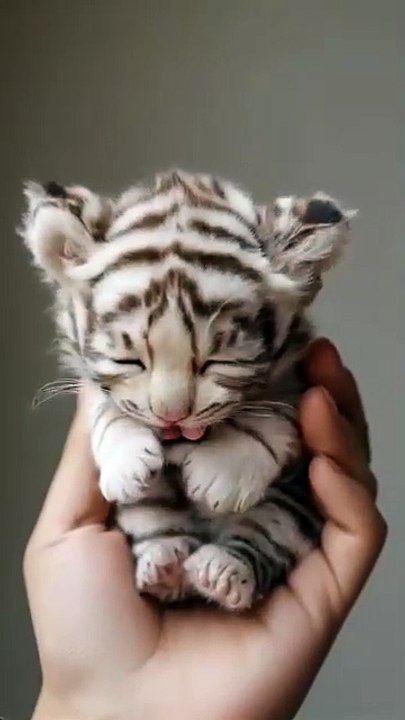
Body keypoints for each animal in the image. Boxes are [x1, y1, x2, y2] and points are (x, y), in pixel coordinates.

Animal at [20, 169, 353, 611]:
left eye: (217, 362)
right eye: (129, 361)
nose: (171, 416)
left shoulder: (300, 375)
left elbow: (275, 409)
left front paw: (219, 475)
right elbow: (108, 408)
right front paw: (125, 462)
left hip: (293, 506)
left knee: (265, 536)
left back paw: (222, 573)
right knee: (156, 520)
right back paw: (166, 567)